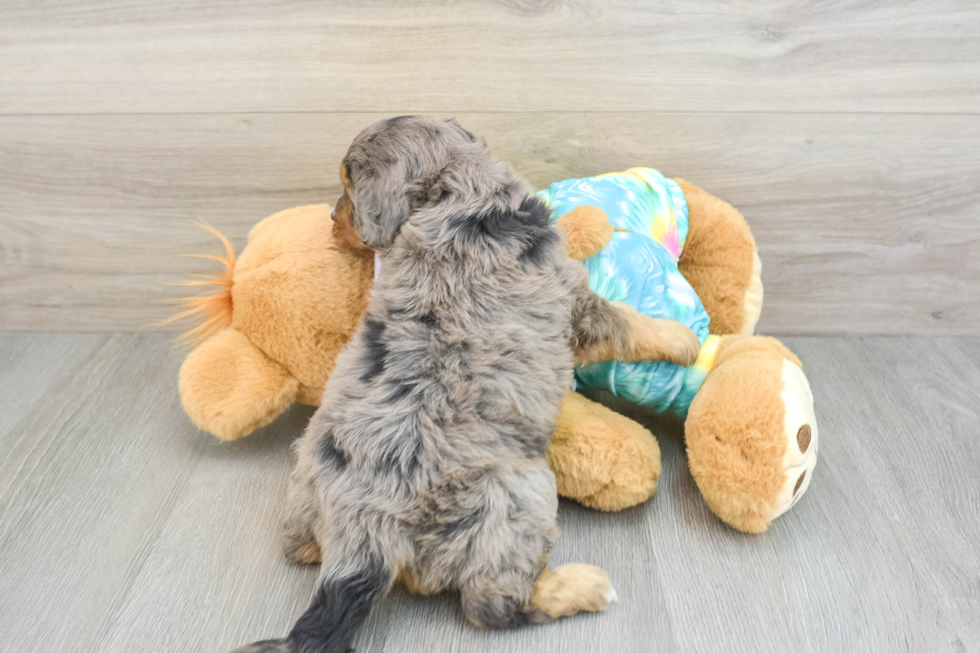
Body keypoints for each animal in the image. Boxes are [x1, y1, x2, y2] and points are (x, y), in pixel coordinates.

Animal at [234, 117, 700, 652]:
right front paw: (682, 339)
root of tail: (365, 538)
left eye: (347, 188)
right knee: (491, 605)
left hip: (306, 478)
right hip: (520, 495)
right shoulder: (574, 303)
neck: (457, 193)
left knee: (297, 547)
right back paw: (580, 585)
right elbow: (626, 322)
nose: (331, 218)